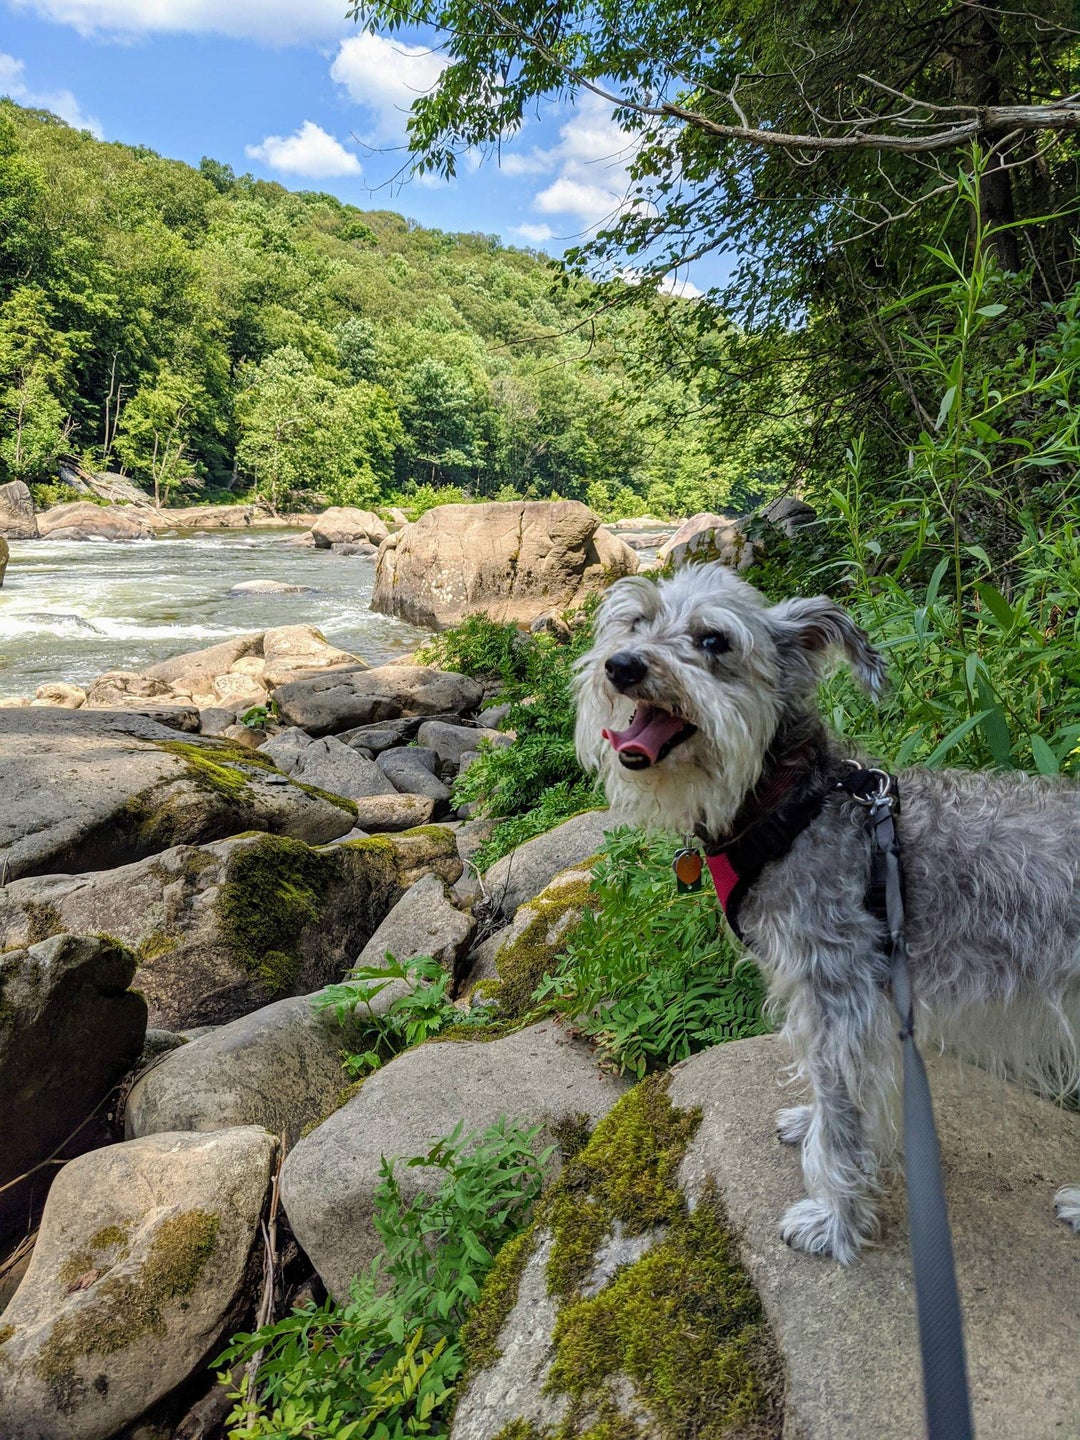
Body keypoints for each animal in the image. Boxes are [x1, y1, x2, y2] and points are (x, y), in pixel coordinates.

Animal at [578, 561, 1077, 1261]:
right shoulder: (820, 997)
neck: (790, 807)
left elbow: (842, 1122)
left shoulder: (841, 994)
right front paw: (810, 1127)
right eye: (635, 621)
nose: (621, 665)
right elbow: (826, 1090)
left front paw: (836, 1221)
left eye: (713, 641)